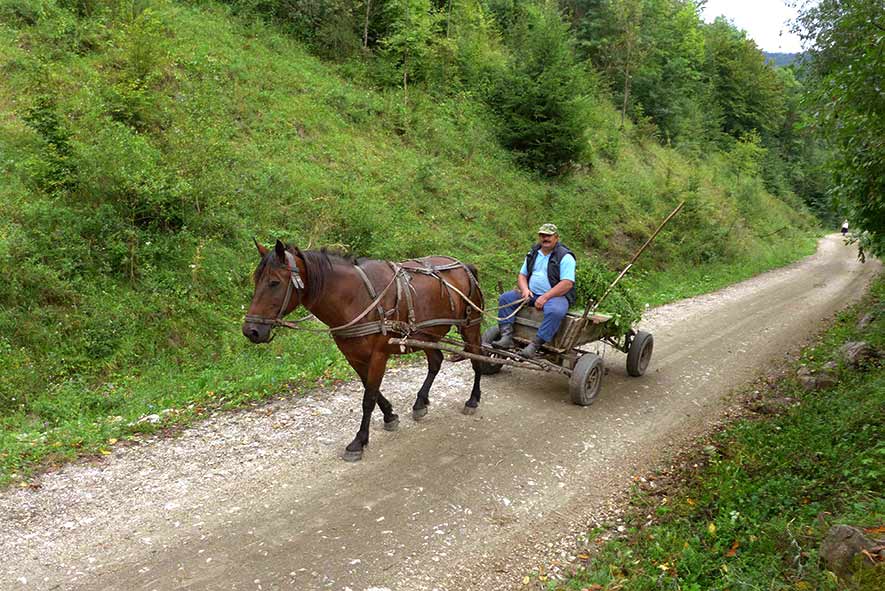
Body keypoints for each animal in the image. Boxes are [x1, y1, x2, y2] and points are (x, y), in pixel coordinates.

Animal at [242, 240, 486, 462]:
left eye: (274, 282)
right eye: (256, 280)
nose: (250, 331)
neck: (356, 297)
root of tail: (465, 265)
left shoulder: (379, 355)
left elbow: (368, 397)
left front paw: (359, 441)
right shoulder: (354, 357)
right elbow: (372, 391)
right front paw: (389, 415)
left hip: (470, 326)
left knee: (477, 361)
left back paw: (472, 400)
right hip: (426, 336)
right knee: (436, 361)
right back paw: (420, 402)